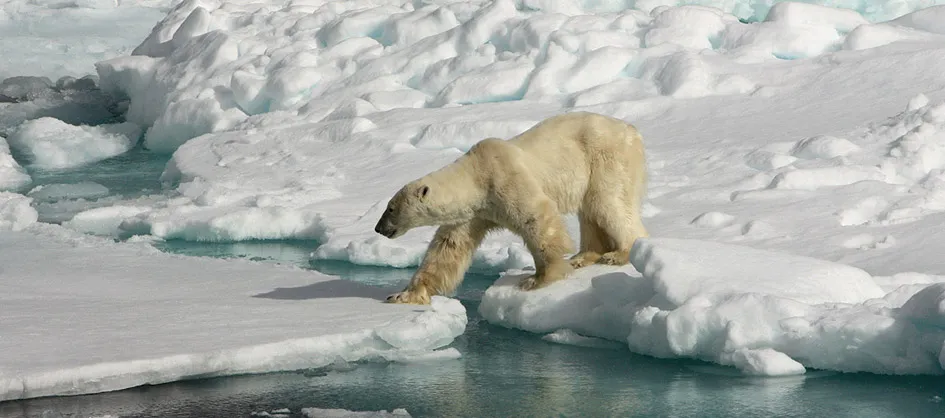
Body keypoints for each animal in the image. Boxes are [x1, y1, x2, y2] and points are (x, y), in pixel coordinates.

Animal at [372, 112, 644, 306]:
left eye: (391, 208)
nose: (378, 228)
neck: (476, 176)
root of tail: (632, 130)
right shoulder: (474, 212)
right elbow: (448, 249)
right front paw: (403, 295)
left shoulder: (505, 178)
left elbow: (537, 218)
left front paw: (538, 279)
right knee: (590, 211)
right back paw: (583, 256)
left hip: (605, 158)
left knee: (608, 202)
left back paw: (619, 254)